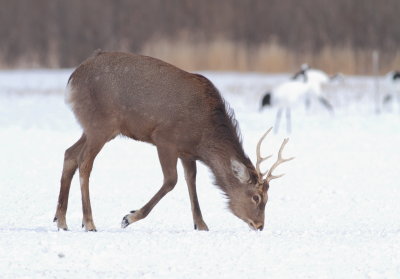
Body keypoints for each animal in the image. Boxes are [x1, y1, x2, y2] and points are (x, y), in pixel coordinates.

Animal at [54, 51, 294, 233]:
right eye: (256, 197)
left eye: (268, 197)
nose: (260, 225)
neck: (204, 137)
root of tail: (72, 81)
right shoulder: (165, 139)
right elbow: (171, 181)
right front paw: (128, 217)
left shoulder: (187, 152)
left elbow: (191, 181)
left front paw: (201, 224)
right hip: (100, 124)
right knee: (85, 162)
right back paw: (89, 222)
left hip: (92, 127)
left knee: (69, 154)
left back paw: (61, 220)